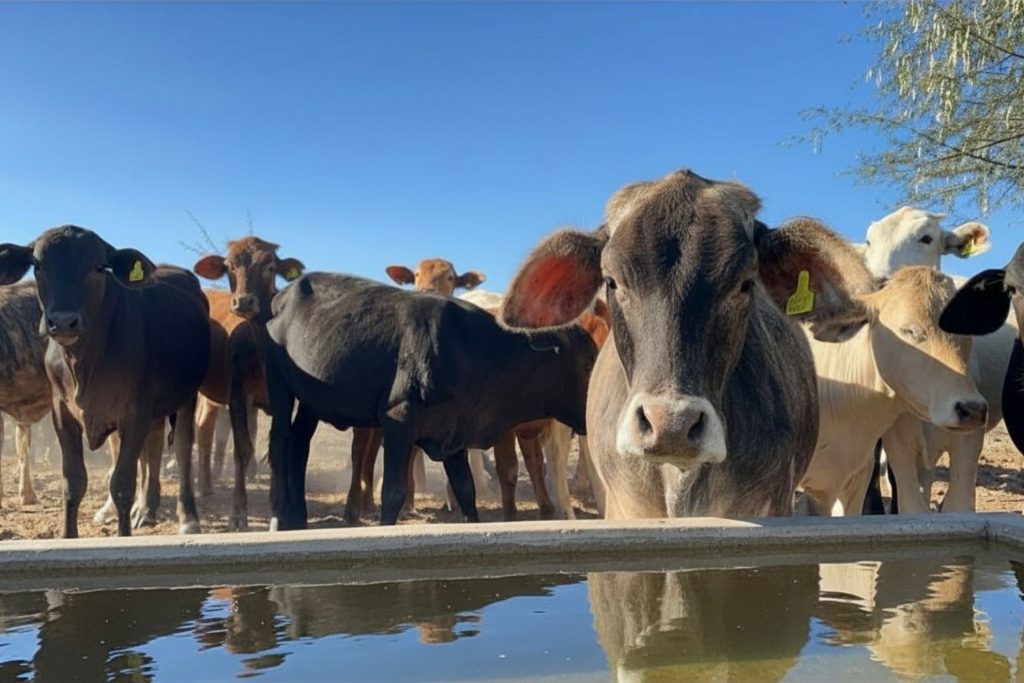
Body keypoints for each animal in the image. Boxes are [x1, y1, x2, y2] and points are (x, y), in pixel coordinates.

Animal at [0, 225, 210, 537]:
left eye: (99, 266)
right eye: (37, 265)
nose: (63, 321)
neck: (84, 364)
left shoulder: (134, 413)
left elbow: (122, 483)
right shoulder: (62, 412)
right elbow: (73, 481)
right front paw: (68, 536)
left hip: (186, 397)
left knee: (182, 449)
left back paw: (188, 519)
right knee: (153, 448)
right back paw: (146, 509)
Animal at [192, 236, 305, 530]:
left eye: (270, 267)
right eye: (230, 266)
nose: (243, 301)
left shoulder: (284, 402)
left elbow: (277, 448)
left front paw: (278, 510)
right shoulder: (237, 396)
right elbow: (242, 449)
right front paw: (237, 513)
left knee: (204, 426)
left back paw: (206, 486)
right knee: (201, 428)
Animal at [263, 272, 597, 529]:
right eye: (585, 365)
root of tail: (284, 294)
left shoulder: (455, 432)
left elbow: (466, 490)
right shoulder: (398, 421)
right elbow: (394, 492)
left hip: (311, 400)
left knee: (299, 444)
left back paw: (299, 518)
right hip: (280, 385)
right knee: (281, 441)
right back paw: (280, 519)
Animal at [860, 207, 1012, 512]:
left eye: (926, 237)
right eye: (869, 240)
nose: (878, 282)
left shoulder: (968, 439)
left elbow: (958, 505)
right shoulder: (899, 441)